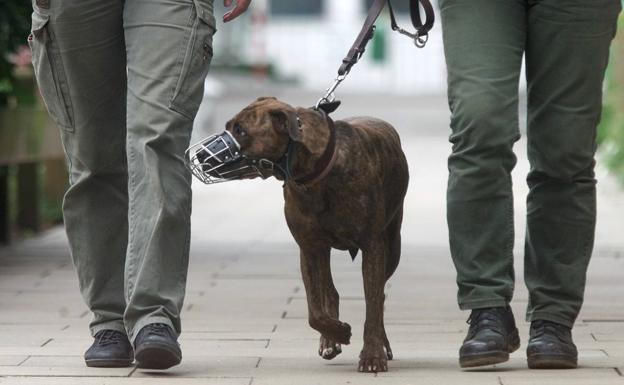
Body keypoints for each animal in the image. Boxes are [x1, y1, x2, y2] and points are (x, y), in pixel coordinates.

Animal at [225, 97, 410, 372]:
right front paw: (338, 332)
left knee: (379, 297)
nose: (200, 156)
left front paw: (372, 354)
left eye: (241, 131)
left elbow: (372, 302)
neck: (316, 174)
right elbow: (315, 311)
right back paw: (330, 340)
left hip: (392, 245)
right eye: (230, 127)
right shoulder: (309, 247)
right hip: (323, 250)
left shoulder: (373, 246)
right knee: (329, 292)